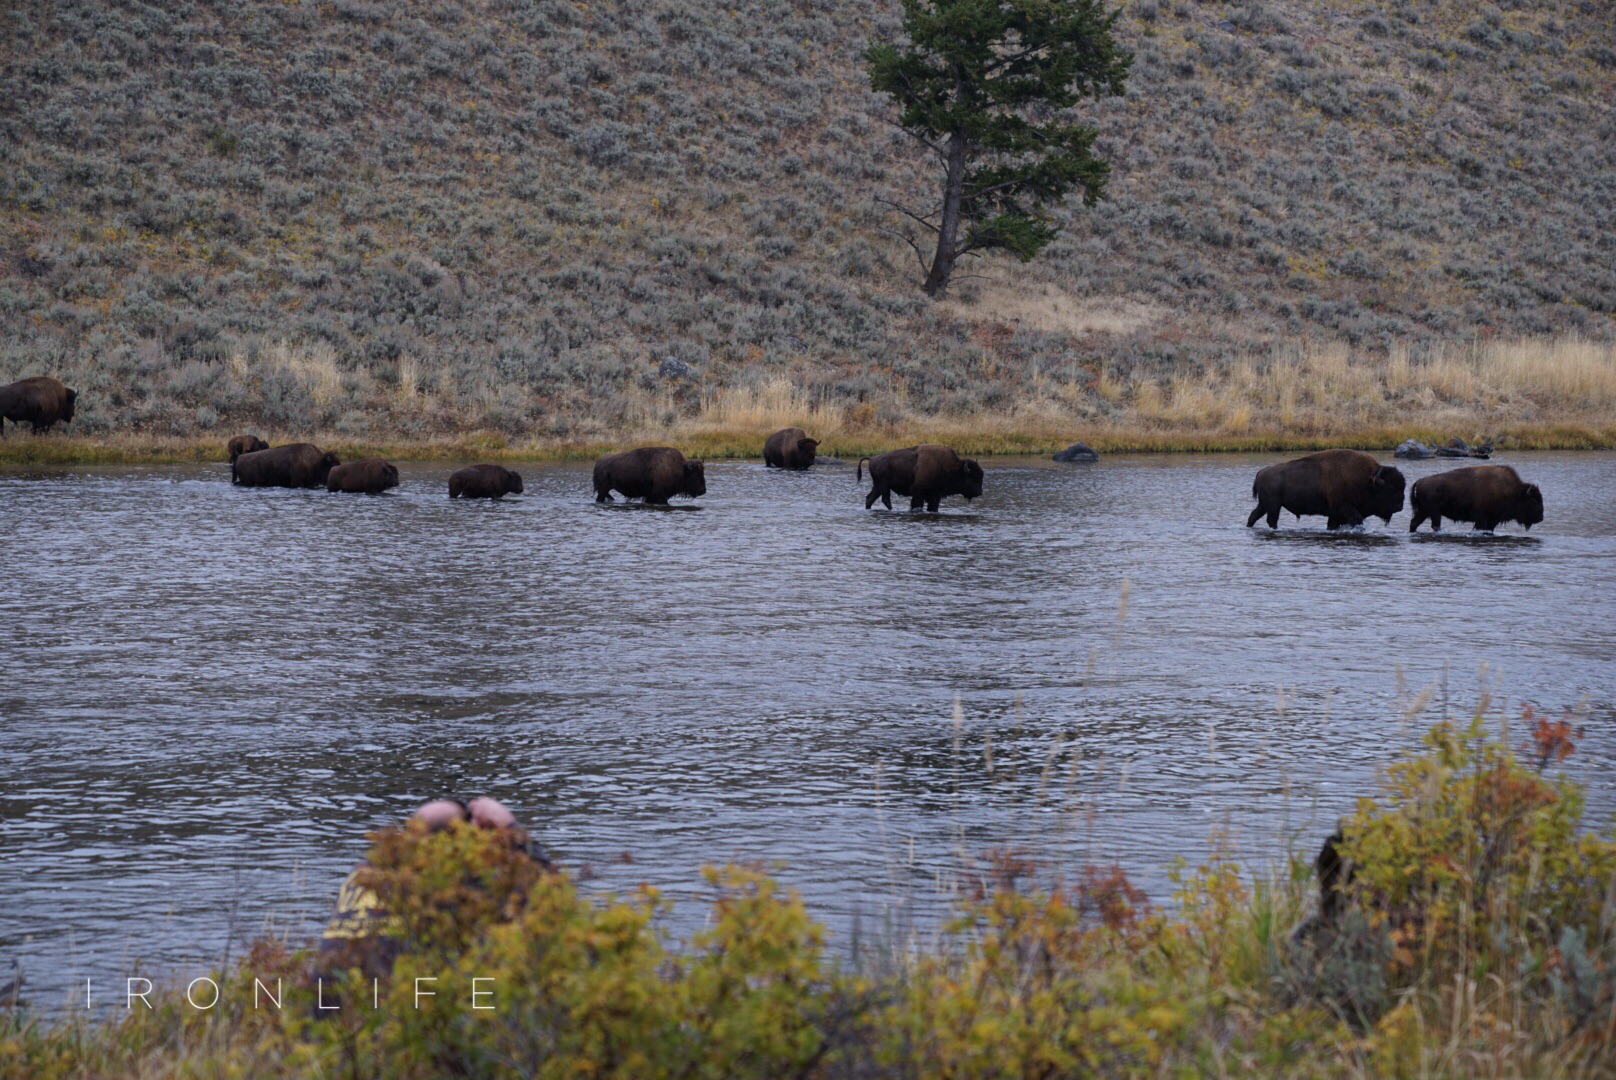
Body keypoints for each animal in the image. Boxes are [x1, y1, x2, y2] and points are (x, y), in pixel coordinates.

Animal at [1241, 446, 1409, 530]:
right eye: (1390, 490)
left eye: (1402, 488)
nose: (1399, 507)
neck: (1367, 481)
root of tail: (1261, 472)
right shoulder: (1345, 509)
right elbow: (1356, 520)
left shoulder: (1335, 515)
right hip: (1274, 506)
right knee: (1271, 520)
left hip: (1264, 505)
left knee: (1254, 516)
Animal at [1409, 465, 1544, 530]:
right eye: (1533, 501)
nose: (1541, 518)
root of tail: (1420, 481)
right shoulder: (1481, 519)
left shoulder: (1493, 520)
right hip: (1434, 512)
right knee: (1435, 525)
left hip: (1424, 511)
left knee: (1414, 523)